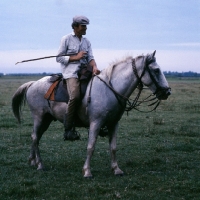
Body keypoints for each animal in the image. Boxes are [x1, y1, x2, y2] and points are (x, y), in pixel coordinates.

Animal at [11, 50, 170, 177]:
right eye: (156, 70)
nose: (167, 92)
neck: (110, 89)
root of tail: (32, 84)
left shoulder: (114, 124)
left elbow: (113, 147)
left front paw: (116, 169)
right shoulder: (95, 123)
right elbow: (91, 146)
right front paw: (87, 171)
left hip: (47, 119)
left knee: (35, 137)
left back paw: (32, 161)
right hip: (39, 117)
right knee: (35, 137)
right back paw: (40, 164)